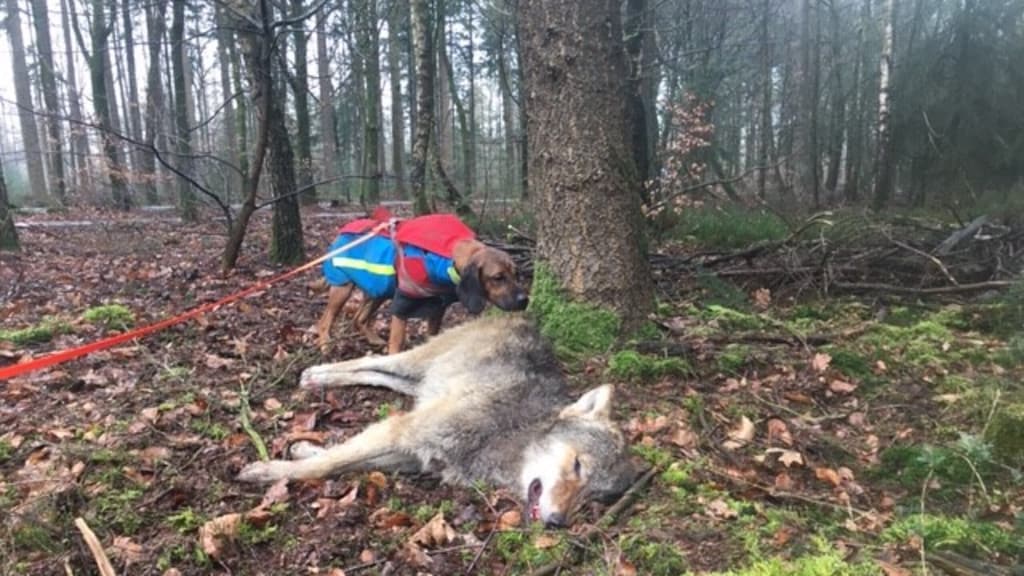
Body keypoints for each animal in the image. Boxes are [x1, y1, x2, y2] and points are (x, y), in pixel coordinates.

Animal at [237, 314, 639, 527]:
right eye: (577, 466)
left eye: (593, 496)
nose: (558, 523)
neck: (510, 430)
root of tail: (521, 316)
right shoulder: (403, 429)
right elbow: (326, 466)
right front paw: (268, 472)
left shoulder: (415, 454)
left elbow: (339, 461)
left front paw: (303, 448)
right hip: (415, 364)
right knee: (371, 359)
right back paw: (317, 375)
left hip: (421, 382)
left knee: (379, 374)